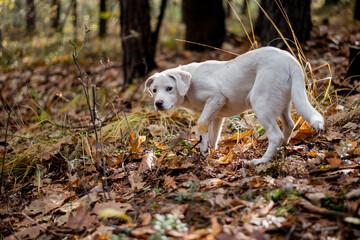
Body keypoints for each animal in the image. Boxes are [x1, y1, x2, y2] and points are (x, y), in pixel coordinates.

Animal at [145, 46, 324, 165]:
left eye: (169, 88)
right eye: (154, 90)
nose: (158, 103)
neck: (190, 82)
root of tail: (289, 59)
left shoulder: (216, 98)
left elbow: (201, 124)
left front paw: (203, 149)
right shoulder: (217, 115)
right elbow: (213, 137)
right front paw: (212, 152)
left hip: (261, 104)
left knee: (275, 135)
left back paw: (261, 161)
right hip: (283, 103)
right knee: (289, 124)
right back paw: (284, 146)